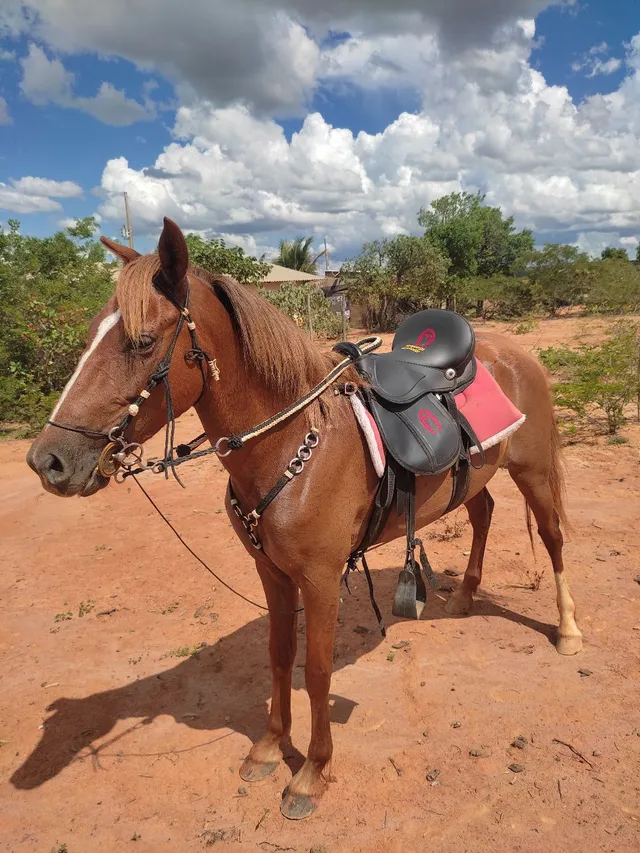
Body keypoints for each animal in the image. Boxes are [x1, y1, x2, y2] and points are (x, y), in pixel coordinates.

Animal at [27, 218, 584, 820]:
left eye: (142, 342)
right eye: (90, 335)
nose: (48, 461)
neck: (294, 445)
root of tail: (512, 352)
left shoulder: (319, 580)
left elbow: (316, 673)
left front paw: (313, 772)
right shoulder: (272, 573)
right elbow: (278, 656)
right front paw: (270, 747)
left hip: (533, 469)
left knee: (552, 538)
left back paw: (568, 630)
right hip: (477, 474)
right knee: (482, 514)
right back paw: (463, 597)